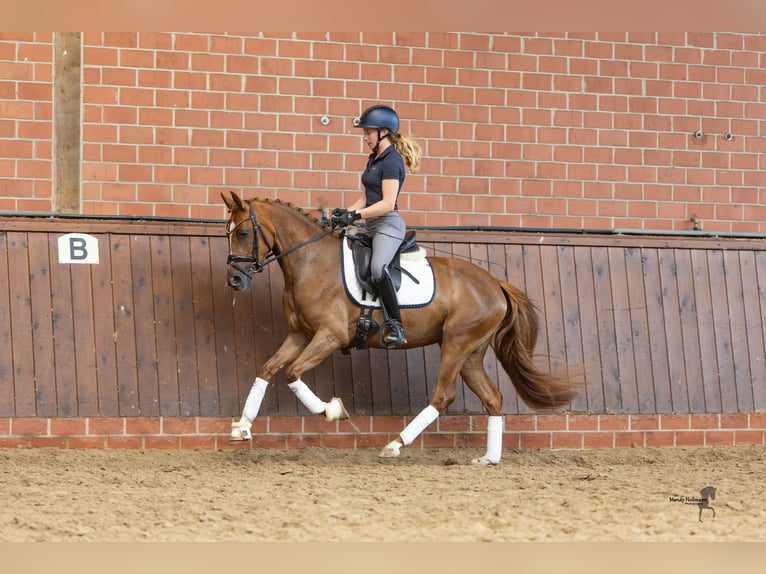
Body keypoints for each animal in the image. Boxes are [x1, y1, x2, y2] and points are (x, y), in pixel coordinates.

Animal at [222, 191, 584, 466]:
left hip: (456, 343)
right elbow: (268, 369)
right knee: (492, 398)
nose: (235, 281)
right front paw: (242, 427)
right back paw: (488, 459)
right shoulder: (300, 334)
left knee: (443, 395)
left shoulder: (330, 336)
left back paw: (395, 444)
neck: (311, 262)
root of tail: (495, 283)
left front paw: (332, 410)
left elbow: (292, 373)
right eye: (228, 231)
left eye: (243, 233)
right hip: (470, 353)